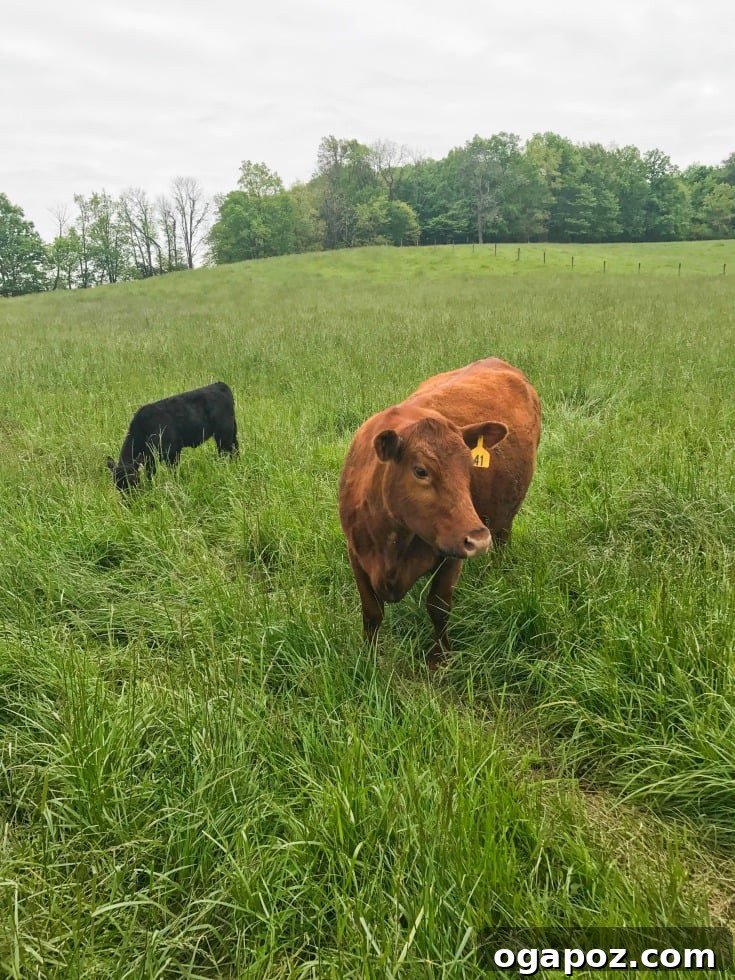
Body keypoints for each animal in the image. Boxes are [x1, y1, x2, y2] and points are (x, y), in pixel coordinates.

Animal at [107, 382, 238, 491]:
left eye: (133, 480)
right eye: (117, 485)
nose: (129, 503)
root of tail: (220, 384)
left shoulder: (172, 452)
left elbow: (173, 472)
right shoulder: (150, 458)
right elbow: (150, 474)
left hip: (224, 435)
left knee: (226, 453)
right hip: (230, 433)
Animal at [338, 357, 541, 666]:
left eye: (470, 466)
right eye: (421, 471)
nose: (478, 539)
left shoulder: (452, 555)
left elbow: (438, 606)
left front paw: (440, 659)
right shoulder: (356, 554)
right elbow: (372, 612)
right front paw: (369, 659)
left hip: (504, 518)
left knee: (502, 540)